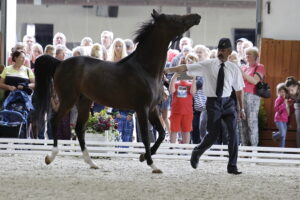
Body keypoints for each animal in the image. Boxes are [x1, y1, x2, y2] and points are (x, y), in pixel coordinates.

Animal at [32, 9, 200, 173]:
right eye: (173, 19)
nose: (196, 16)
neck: (146, 70)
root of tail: (59, 63)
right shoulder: (142, 109)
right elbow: (146, 137)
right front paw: (152, 165)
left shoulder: (152, 109)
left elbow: (161, 134)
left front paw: (143, 157)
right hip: (68, 99)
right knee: (55, 121)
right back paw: (50, 157)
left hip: (84, 101)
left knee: (79, 129)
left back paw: (91, 162)